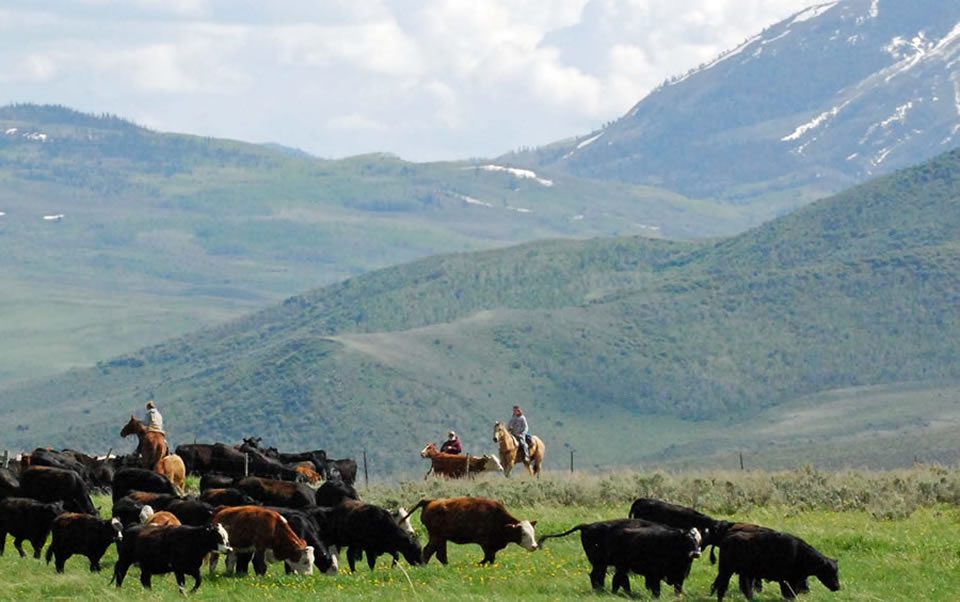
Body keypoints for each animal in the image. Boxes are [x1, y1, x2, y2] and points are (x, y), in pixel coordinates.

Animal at [403, 497, 536, 565]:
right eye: (523, 533)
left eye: (533, 532)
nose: (534, 546)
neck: (496, 516)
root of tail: (429, 502)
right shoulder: (485, 544)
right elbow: (489, 557)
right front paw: (479, 564)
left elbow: (490, 558)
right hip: (437, 537)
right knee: (429, 551)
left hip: (440, 538)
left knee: (438, 554)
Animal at [711, 527, 840, 600]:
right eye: (829, 571)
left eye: (837, 571)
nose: (837, 586)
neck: (799, 553)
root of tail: (727, 538)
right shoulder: (786, 580)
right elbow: (789, 594)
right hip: (726, 571)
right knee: (721, 588)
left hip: (743, 573)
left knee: (744, 588)